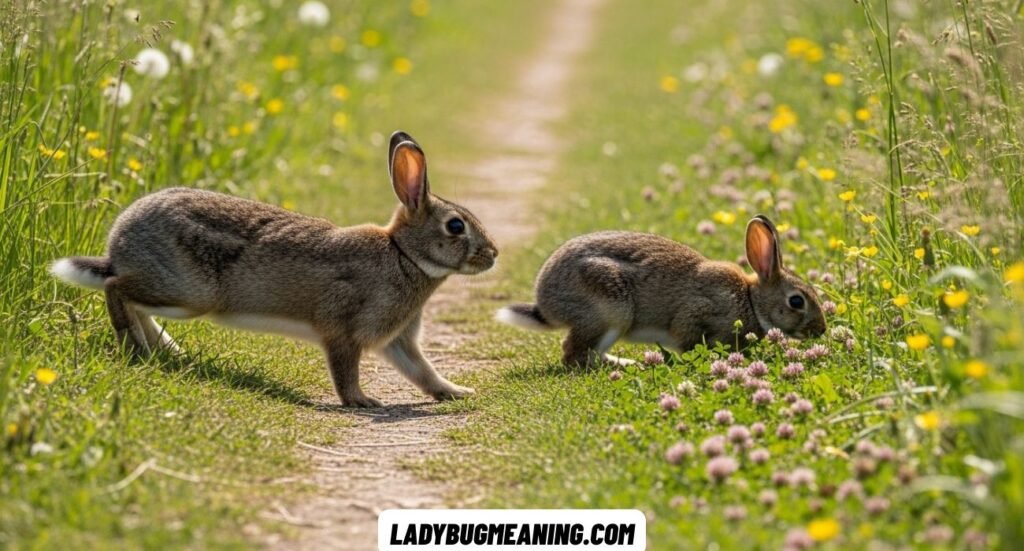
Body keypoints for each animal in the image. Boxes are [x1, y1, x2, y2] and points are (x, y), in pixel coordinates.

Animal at [50, 131, 498, 407]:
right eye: (455, 226)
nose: (493, 254)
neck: (403, 254)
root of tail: (119, 242)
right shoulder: (343, 328)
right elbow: (345, 370)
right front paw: (362, 401)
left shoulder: (398, 340)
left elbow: (422, 371)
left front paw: (457, 392)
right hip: (189, 293)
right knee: (116, 288)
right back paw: (137, 346)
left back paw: (163, 350)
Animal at [496, 215, 825, 366]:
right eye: (797, 301)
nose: (821, 330)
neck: (750, 300)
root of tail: (546, 304)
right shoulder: (697, 314)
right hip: (610, 311)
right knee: (573, 354)